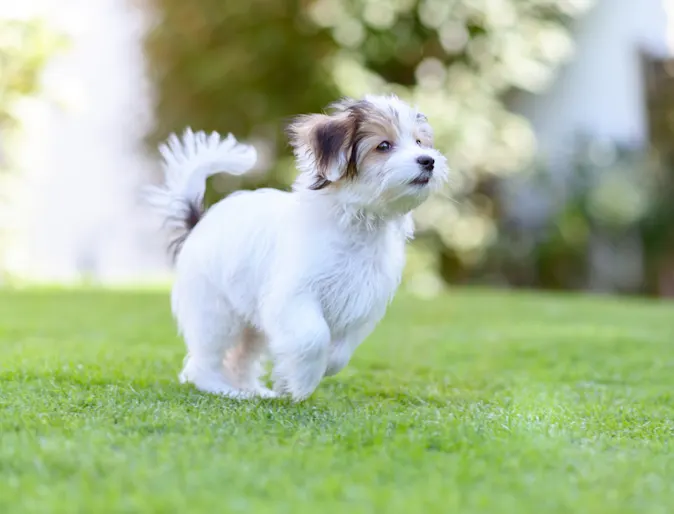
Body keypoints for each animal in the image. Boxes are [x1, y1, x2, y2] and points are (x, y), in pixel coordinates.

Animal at [144, 94, 446, 398]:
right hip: (216, 313)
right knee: (204, 361)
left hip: (250, 322)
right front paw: (301, 382)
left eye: (419, 142)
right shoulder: (294, 295)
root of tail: (199, 223)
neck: (356, 220)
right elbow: (314, 336)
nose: (428, 160)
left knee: (242, 357)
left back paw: (253, 391)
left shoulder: (361, 302)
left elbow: (340, 352)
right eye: (384, 145)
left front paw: (299, 374)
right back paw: (224, 389)